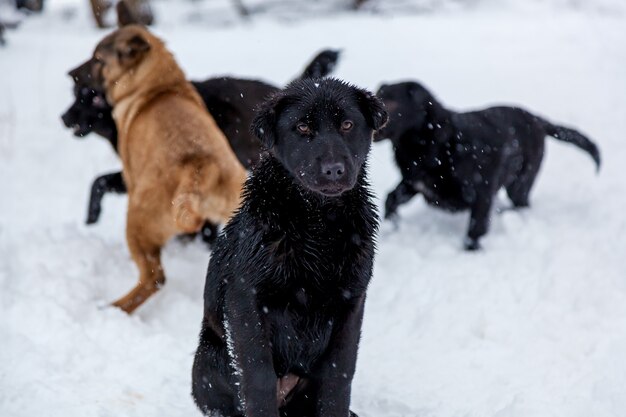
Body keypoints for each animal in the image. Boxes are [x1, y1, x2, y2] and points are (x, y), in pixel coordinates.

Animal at [61, 49, 338, 231]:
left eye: (93, 98)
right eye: (76, 94)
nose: (64, 117)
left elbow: (98, 182)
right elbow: (100, 182)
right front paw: (91, 221)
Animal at [89, 25, 246, 312]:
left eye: (97, 60)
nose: (74, 74)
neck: (160, 86)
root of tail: (200, 164)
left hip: (138, 222)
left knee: (154, 278)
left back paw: (115, 307)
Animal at [190, 78, 386, 416]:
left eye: (348, 125)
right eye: (303, 127)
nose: (334, 169)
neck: (318, 223)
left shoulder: (351, 302)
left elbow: (338, 378)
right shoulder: (247, 300)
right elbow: (258, 378)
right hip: (210, 357)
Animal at [372, 81, 596, 250]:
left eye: (392, 102)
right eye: (376, 97)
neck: (436, 140)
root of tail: (536, 119)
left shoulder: (482, 192)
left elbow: (475, 229)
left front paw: (471, 252)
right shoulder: (415, 182)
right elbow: (391, 198)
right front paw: (393, 226)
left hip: (520, 182)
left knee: (521, 203)